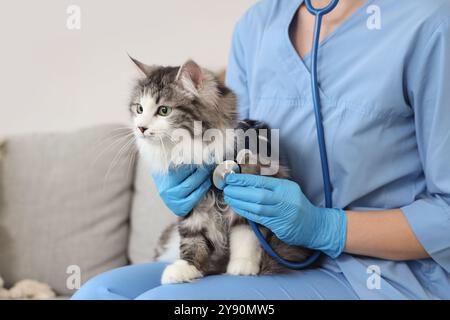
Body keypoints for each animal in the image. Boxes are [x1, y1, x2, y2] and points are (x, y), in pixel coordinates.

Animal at [126, 57, 310, 282]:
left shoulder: (248, 195)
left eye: (164, 111)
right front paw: (186, 268)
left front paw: (242, 266)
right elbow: (192, 238)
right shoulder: (191, 203)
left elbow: (245, 235)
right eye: (139, 109)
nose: (141, 128)